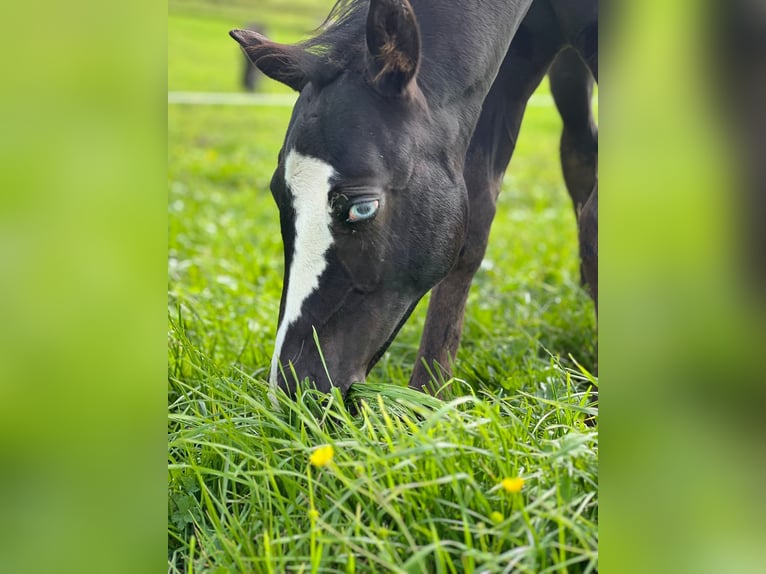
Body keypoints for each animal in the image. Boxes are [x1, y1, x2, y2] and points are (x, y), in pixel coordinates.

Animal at [230, 0, 598, 398]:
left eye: (363, 208)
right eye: (278, 196)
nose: (294, 388)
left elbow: (595, 222)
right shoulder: (507, 69)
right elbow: (472, 227)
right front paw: (430, 396)